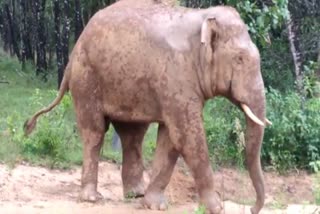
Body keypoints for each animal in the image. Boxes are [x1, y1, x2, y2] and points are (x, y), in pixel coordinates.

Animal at [23, 0, 272, 213]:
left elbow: (171, 138)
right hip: (86, 78)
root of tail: (74, 50)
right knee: (94, 132)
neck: (202, 18)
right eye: (239, 59)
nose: (252, 209)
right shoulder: (176, 75)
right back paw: (92, 198)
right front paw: (216, 208)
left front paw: (155, 205)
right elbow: (187, 136)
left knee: (133, 136)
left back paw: (136, 194)